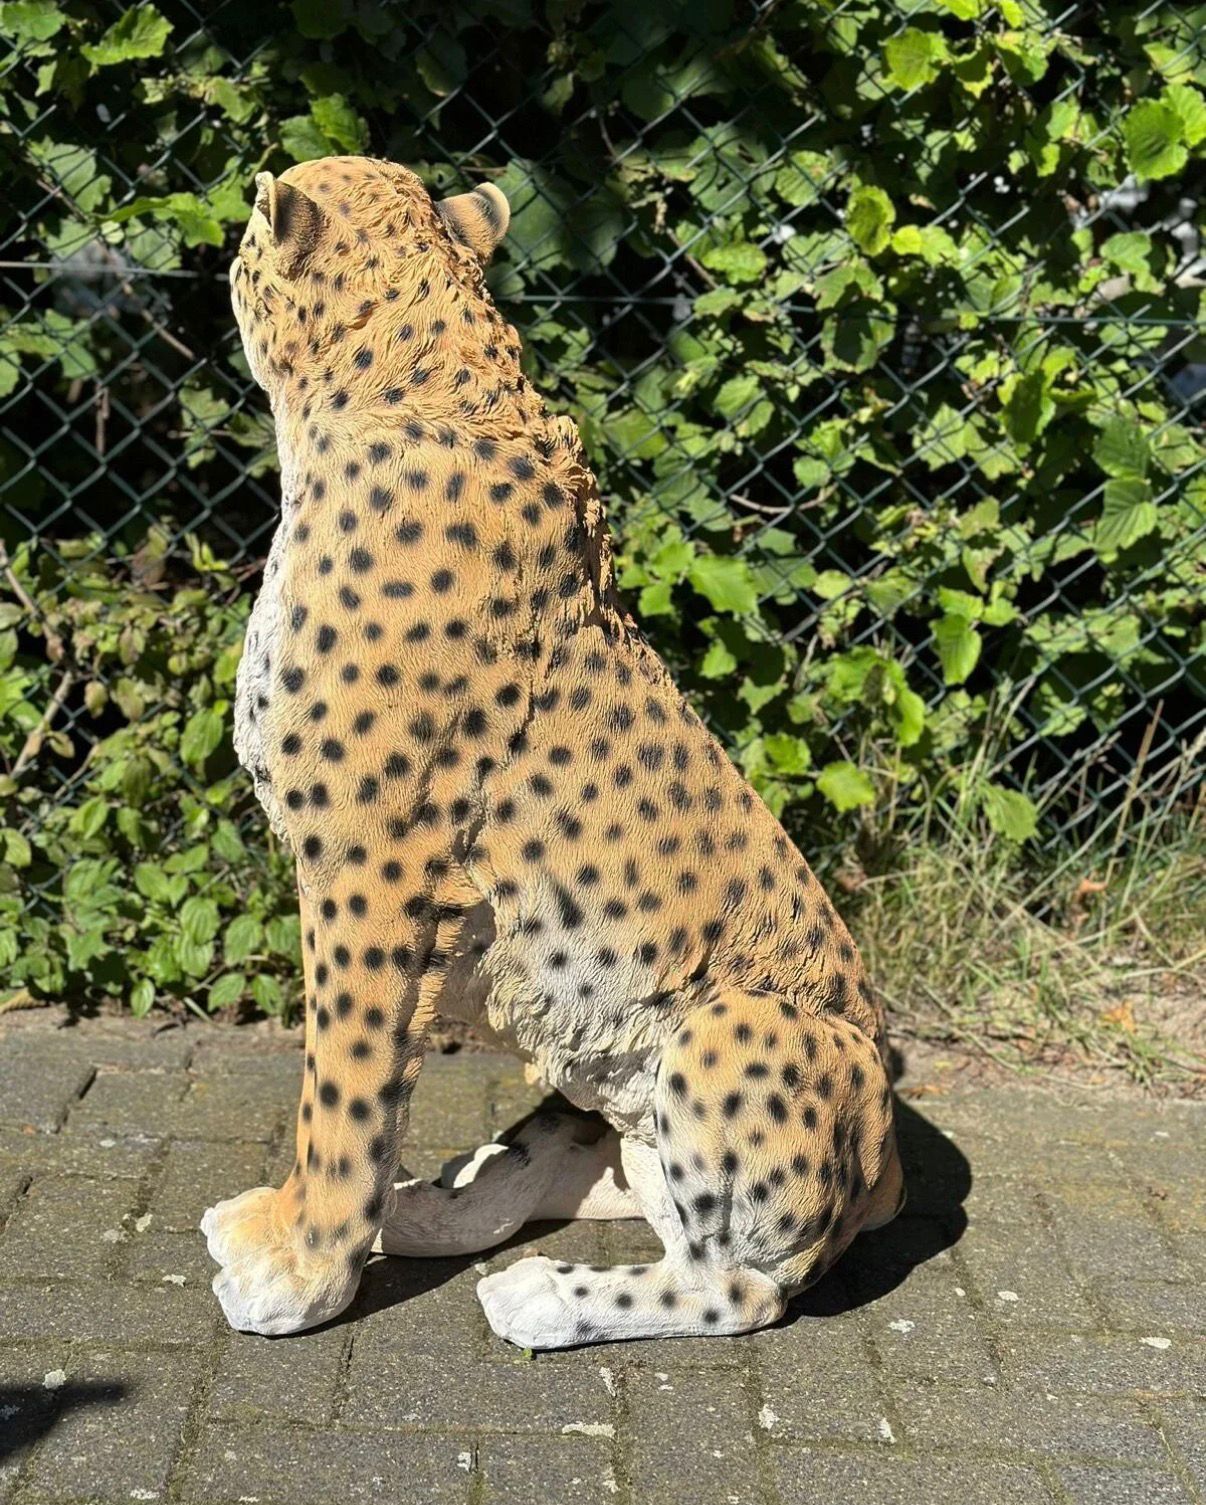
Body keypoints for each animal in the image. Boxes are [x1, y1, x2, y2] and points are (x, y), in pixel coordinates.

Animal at [202, 154, 905, 1348]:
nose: (225, 259)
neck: (407, 382)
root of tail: (896, 1160)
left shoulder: (370, 872)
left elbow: (341, 1091)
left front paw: (302, 1271)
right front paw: (296, 1232)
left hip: (728, 1023)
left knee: (737, 1280)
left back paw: (542, 1293)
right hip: (590, 1041)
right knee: (582, 1160)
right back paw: (429, 1208)